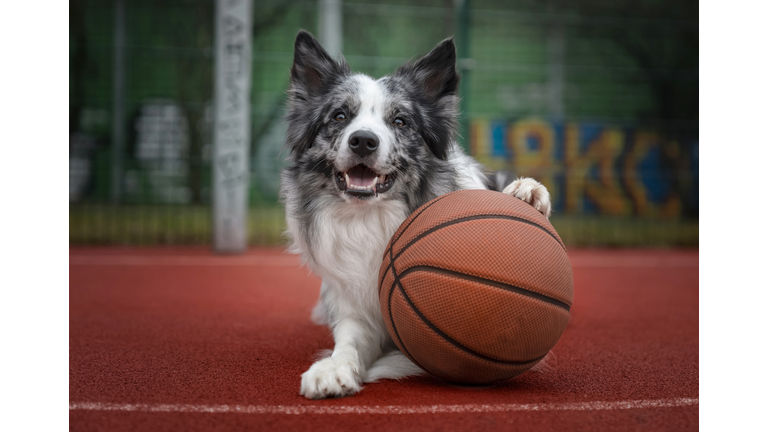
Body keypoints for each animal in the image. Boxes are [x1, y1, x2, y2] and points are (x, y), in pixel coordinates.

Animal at [282, 30, 552, 400]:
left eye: (399, 121)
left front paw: (527, 192)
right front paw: (333, 369)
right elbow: (350, 341)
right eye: (339, 116)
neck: (371, 218)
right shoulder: (355, 308)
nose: (363, 141)